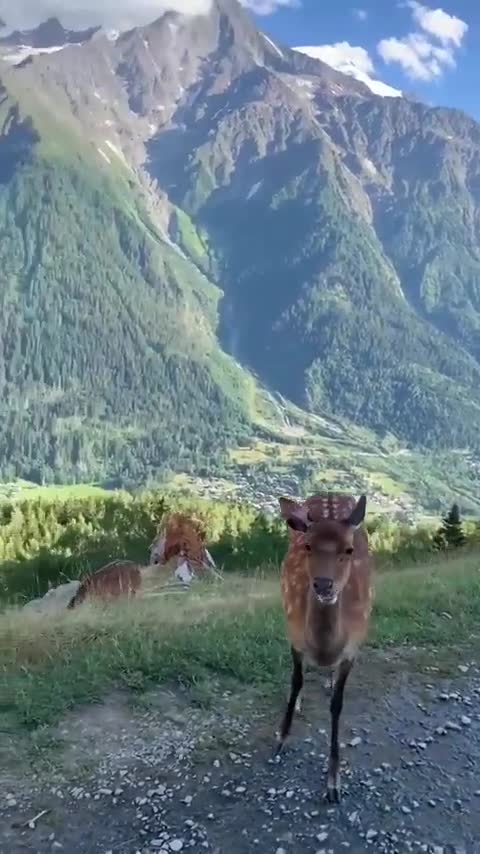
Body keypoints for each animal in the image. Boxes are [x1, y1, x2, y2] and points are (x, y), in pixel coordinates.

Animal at [276, 493, 372, 804]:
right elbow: (296, 680)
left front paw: (333, 784)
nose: (323, 584)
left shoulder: (354, 647)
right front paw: (281, 737)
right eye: (308, 546)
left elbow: (337, 706)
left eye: (349, 549)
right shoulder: (293, 634)